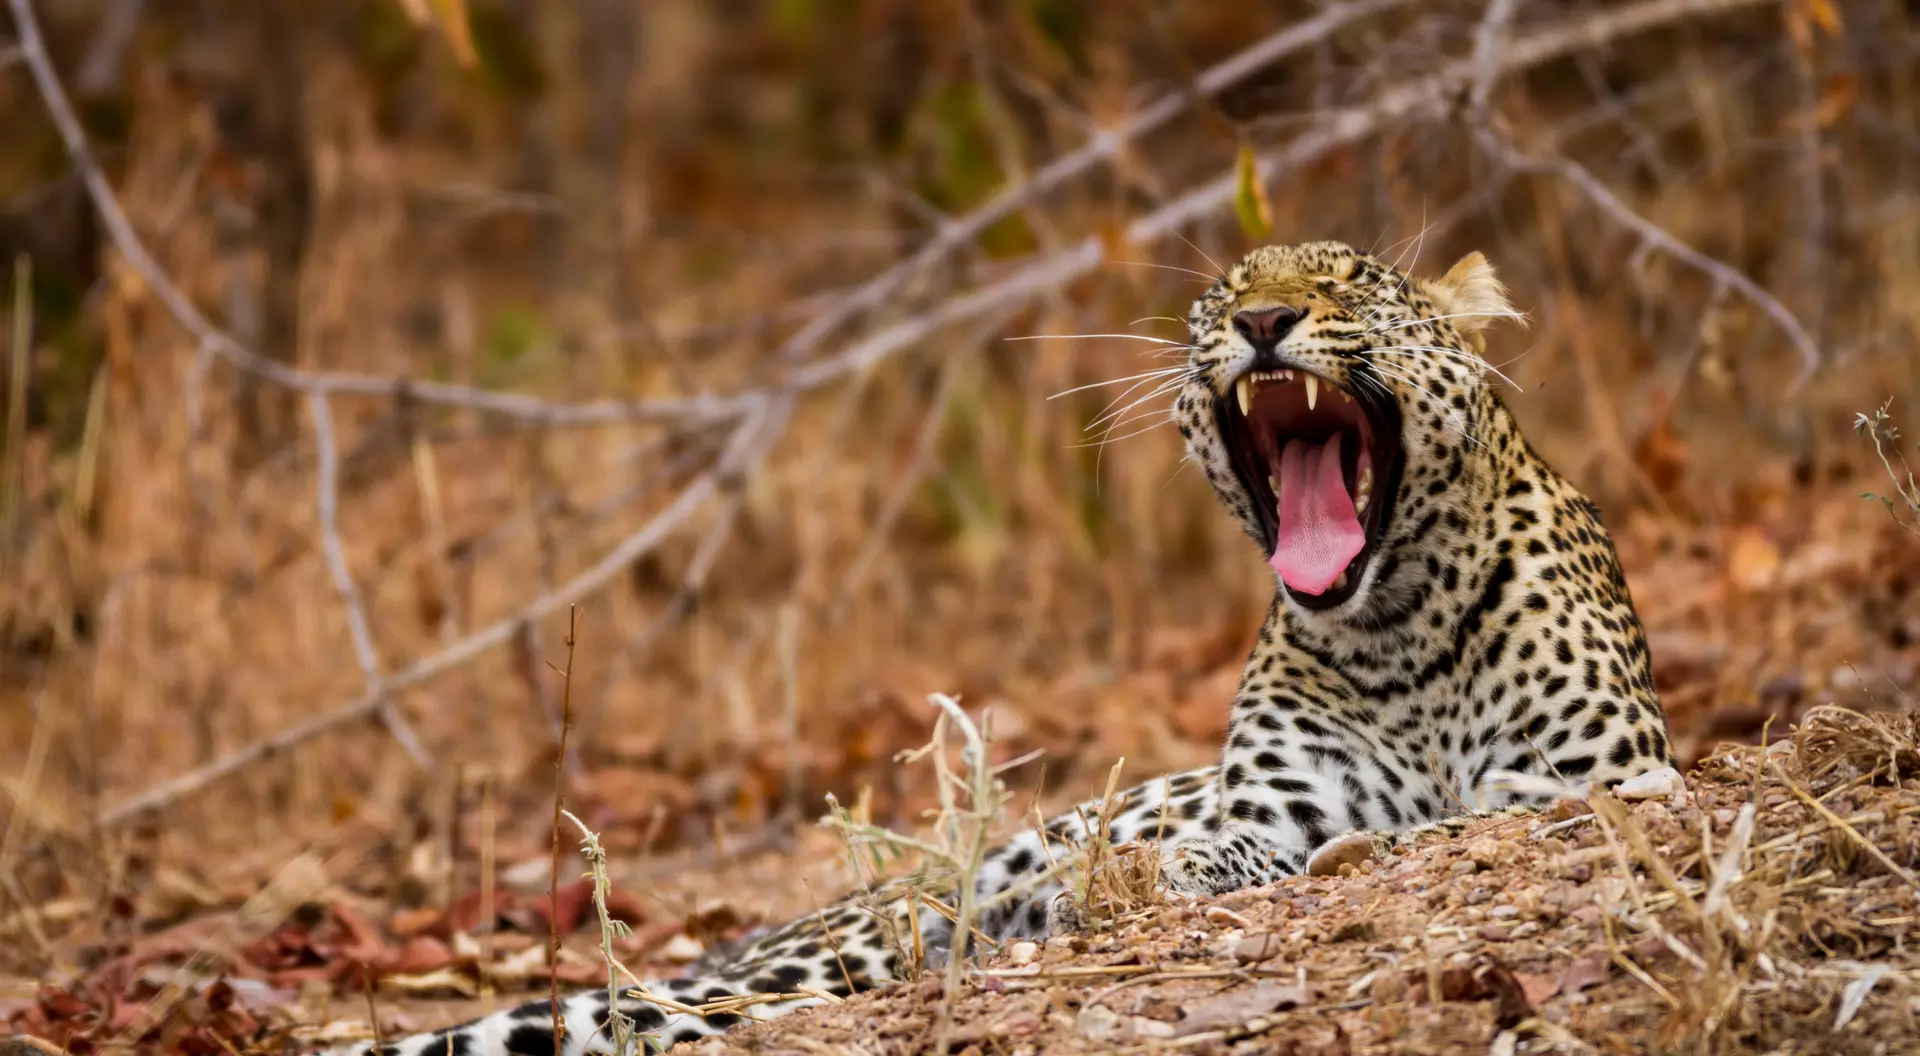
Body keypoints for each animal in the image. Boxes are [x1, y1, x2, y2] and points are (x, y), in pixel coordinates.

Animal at [322, 240, 1673, 1056]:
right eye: (1222, 291)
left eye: (1353, 284)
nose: (1263, 317)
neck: (1396, 632)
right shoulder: (1274, 810)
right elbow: (1226, 849)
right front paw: (1127, 881)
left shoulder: (1602, 775)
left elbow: (1470, 815)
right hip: (838, 942)